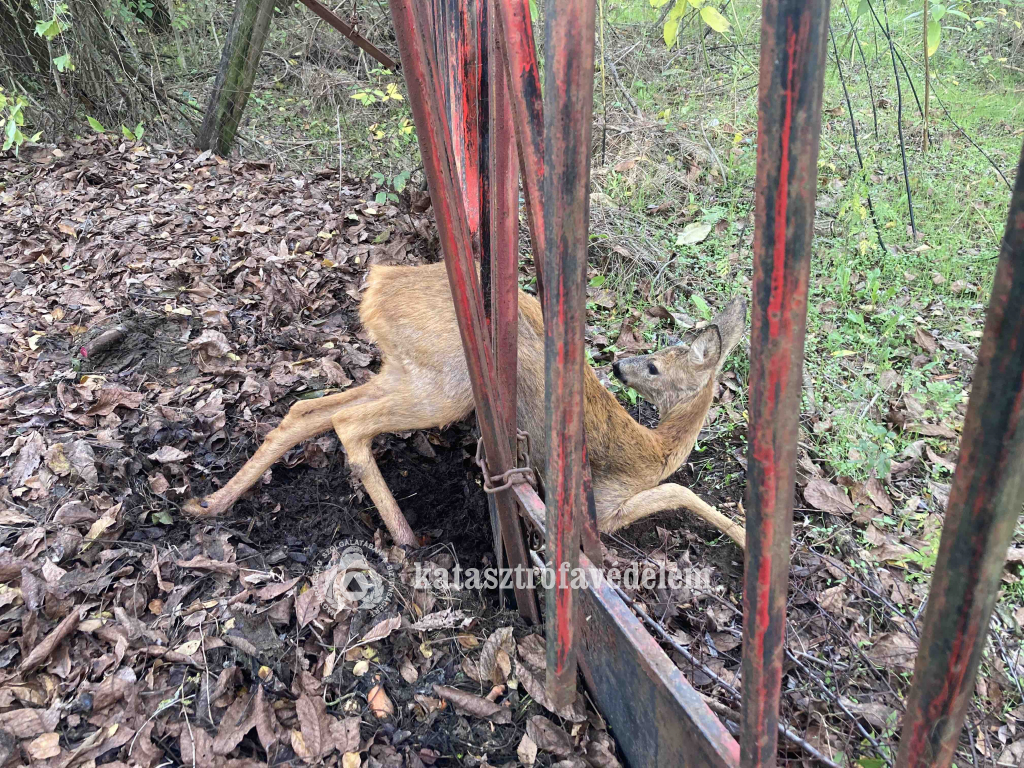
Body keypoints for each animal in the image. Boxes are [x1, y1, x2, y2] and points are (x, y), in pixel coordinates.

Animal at [182, 262, 745, 548]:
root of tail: (377, 282)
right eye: (653, 364)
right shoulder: (602, 507)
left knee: (307, 411)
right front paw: (742, 537)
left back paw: (209, 504)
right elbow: (679, 492)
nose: (620, 364)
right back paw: (408, 538)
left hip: (407, 368)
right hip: (448, 385)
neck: (655, 449)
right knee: (348, 421)